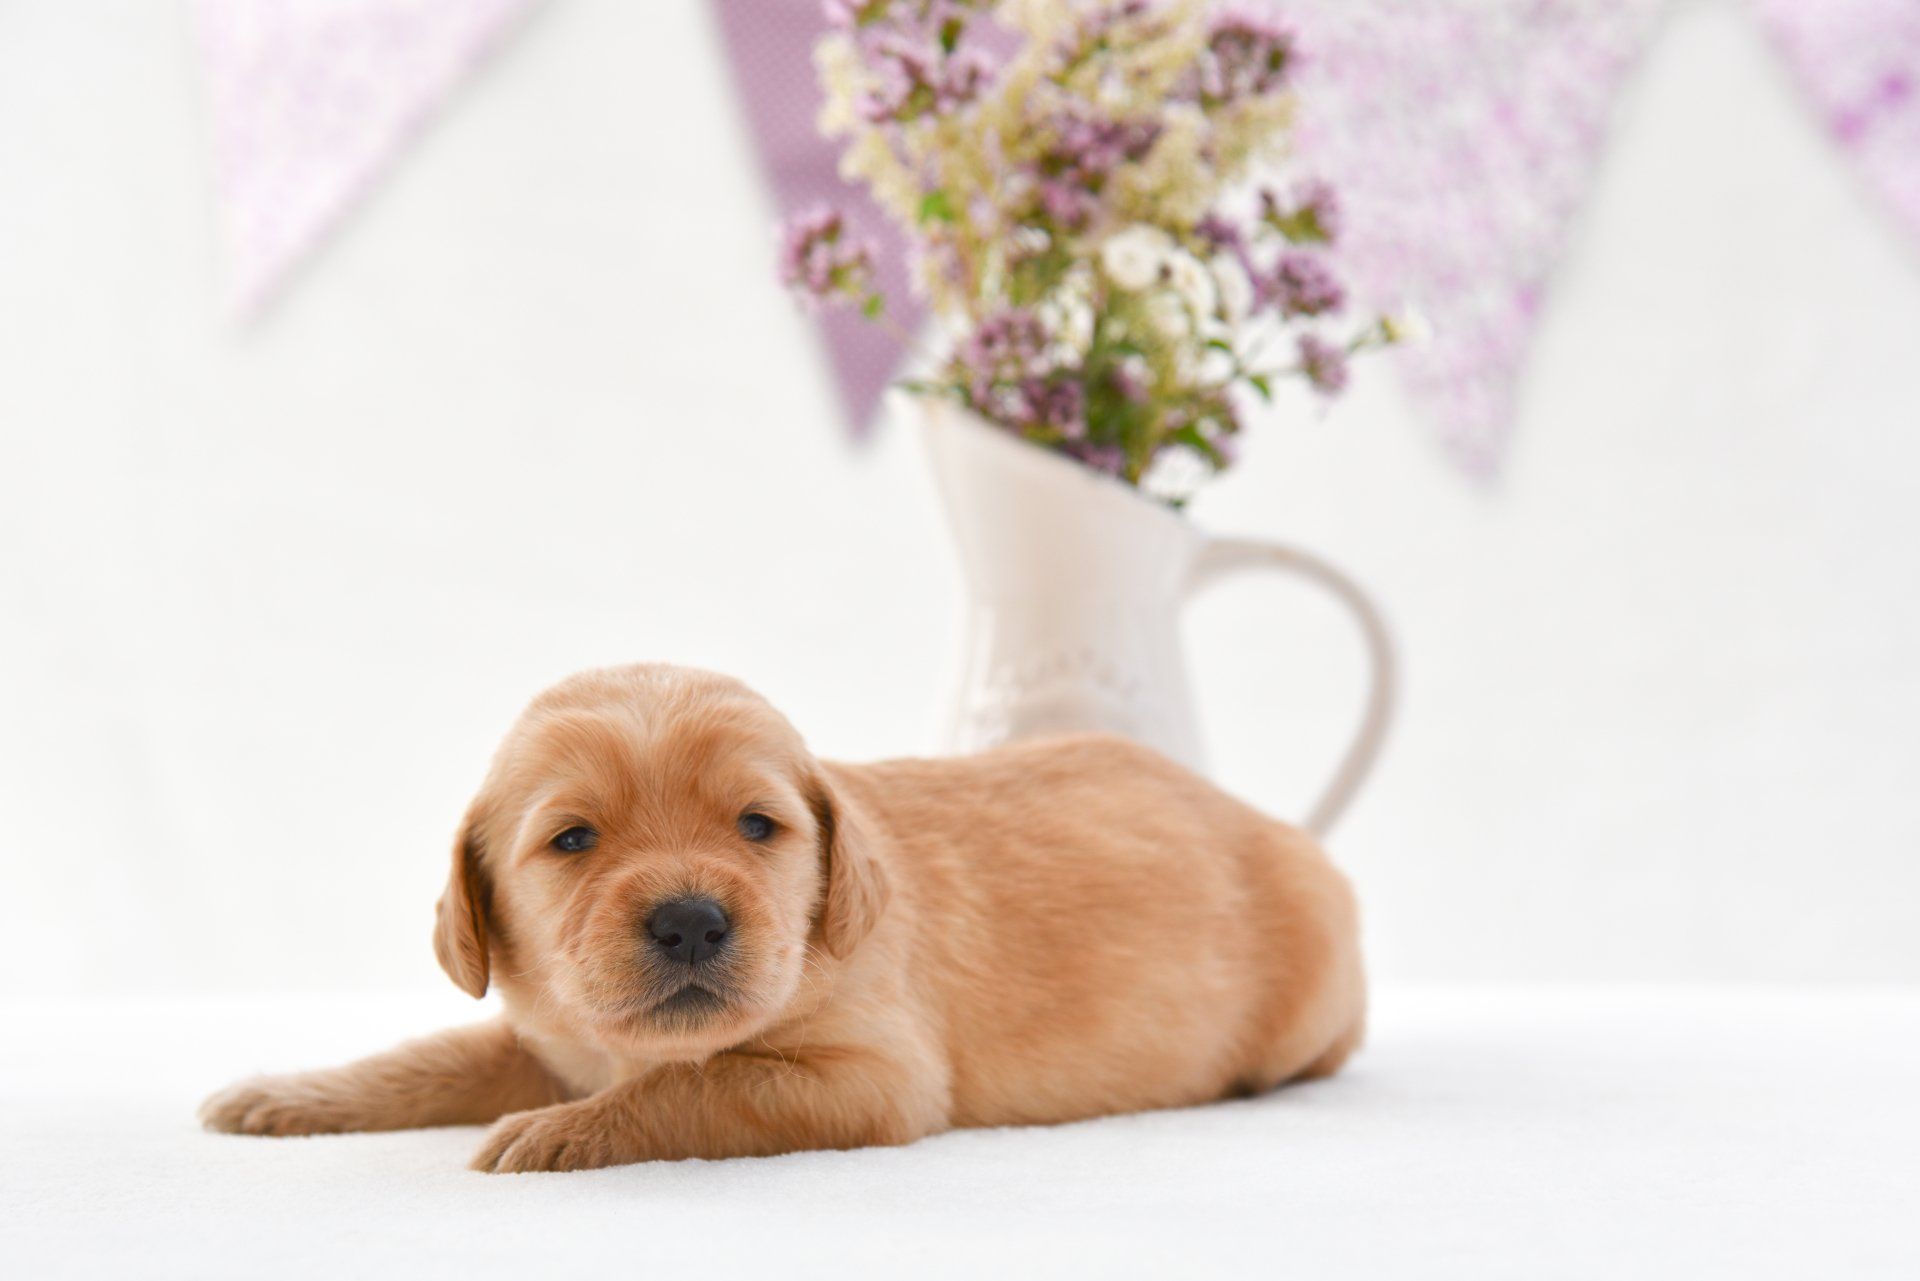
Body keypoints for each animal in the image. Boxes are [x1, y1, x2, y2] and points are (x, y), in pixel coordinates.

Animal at [201, 664, 1365, 1172]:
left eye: (758, 826)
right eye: (572, 840)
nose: (690, 921)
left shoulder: (874, 1076)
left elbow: (699, 1086)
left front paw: (554, 1132)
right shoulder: (546, 1035)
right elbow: (431, 1055)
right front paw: (284, 1093)